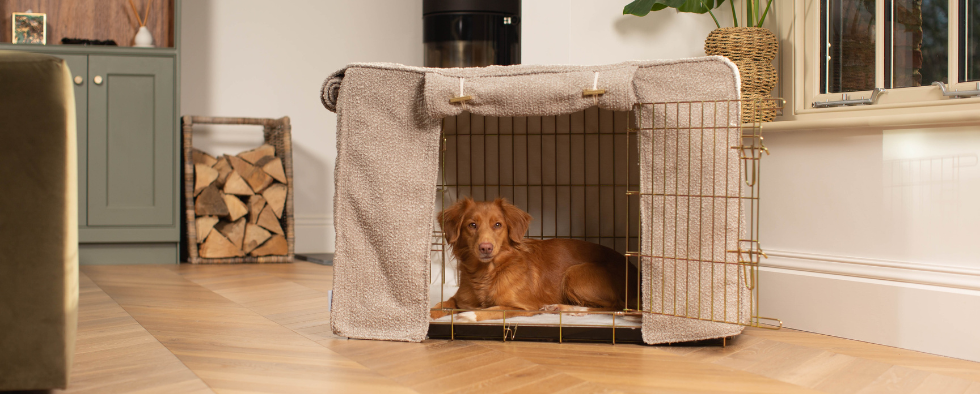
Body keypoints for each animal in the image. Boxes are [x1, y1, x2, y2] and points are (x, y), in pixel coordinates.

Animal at [432, 197, 640, 320]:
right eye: (472, 225)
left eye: (498, 224)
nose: (485, 247)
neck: (486, 273)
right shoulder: (458, 300)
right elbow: (439, 305)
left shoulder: (523, 307)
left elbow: (493, 309)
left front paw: (469, 315)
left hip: (574, 273)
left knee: (616, 306)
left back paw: (568, 309)